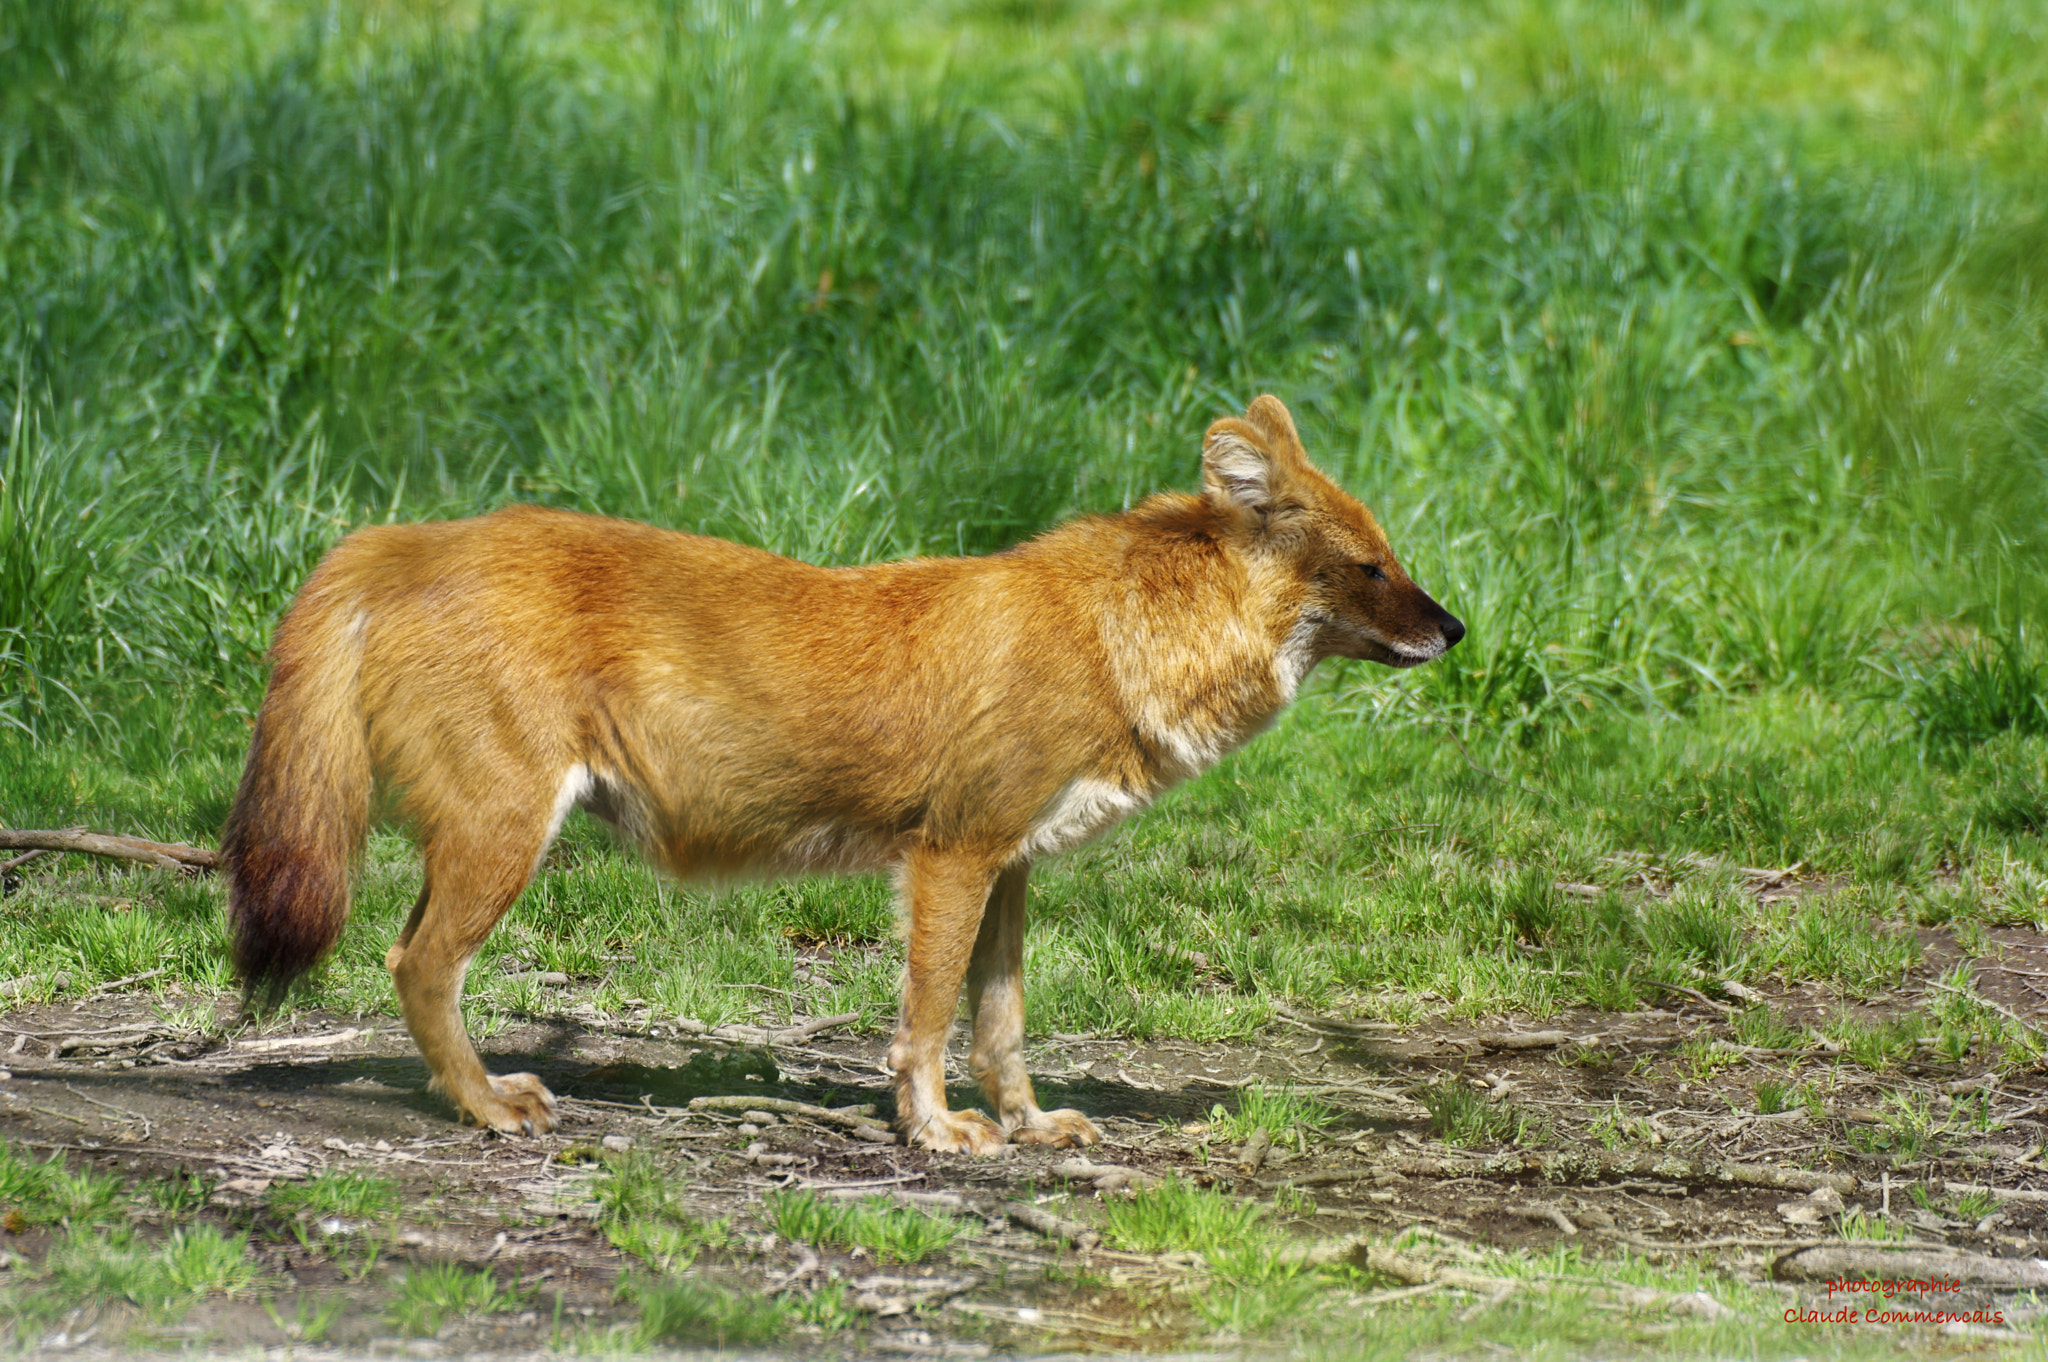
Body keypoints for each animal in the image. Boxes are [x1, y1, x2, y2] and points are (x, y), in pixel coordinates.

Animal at [221, 395, 1463, 1153]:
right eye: (1372, 567)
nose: (1455, 629)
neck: (1114, 638)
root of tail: (402, 536)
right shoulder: (949, 856)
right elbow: (926, 1018)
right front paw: (937, 1131)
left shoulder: (1008, 866)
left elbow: (1002, 1023)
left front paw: (1028, 1124)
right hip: (501, 838)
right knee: (417, 964)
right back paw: (485, 1107)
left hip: (477, 839)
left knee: (406, 959)